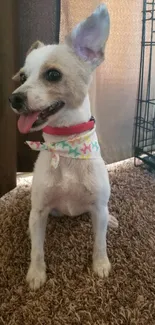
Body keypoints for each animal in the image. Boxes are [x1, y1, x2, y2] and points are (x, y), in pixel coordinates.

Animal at [9, 4, 117, 288]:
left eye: (53, 74)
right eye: (22, 77)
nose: (14, 98)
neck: (66, 147)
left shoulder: (97, 209)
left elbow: (100, 242)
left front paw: (100, 265)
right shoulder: (40, 210)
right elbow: (37, 250)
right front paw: (36, 274)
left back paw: (112, 219)